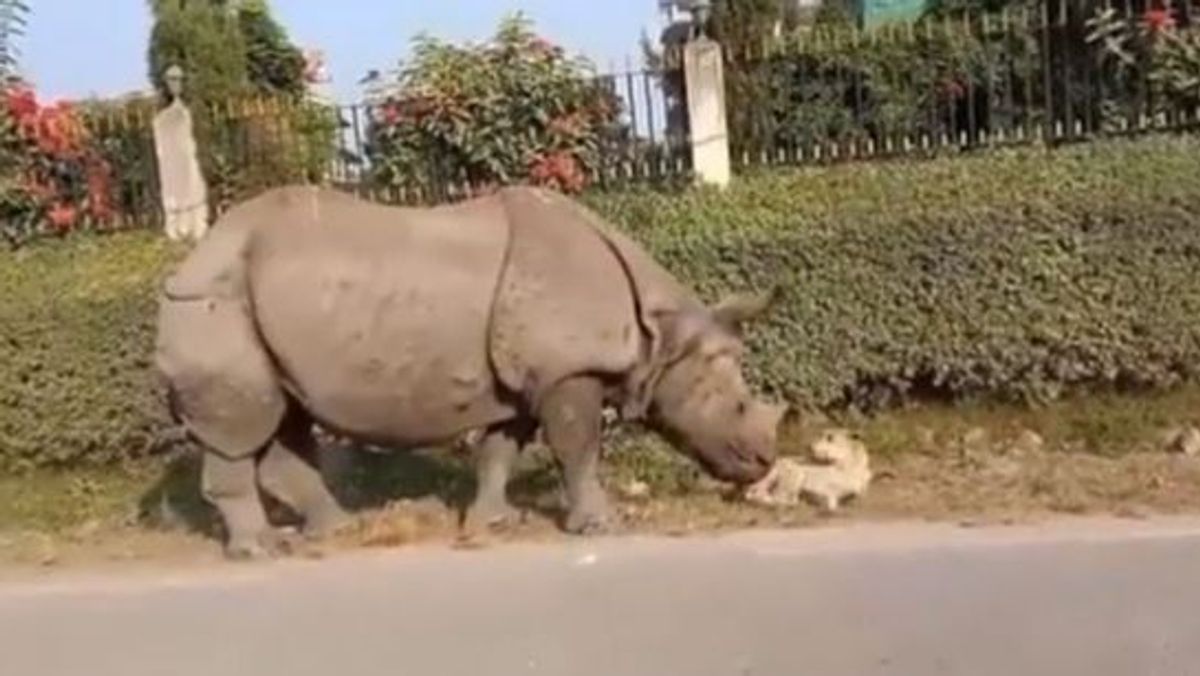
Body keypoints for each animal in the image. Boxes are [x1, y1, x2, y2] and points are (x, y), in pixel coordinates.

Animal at [739, 427, 873, 513]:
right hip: (796, 473)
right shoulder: (824, 490)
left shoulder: (860, 493)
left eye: (830, 438)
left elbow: (856, 496)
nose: (808, 446)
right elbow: (829, 499)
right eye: (820, 434)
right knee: (776, 497)